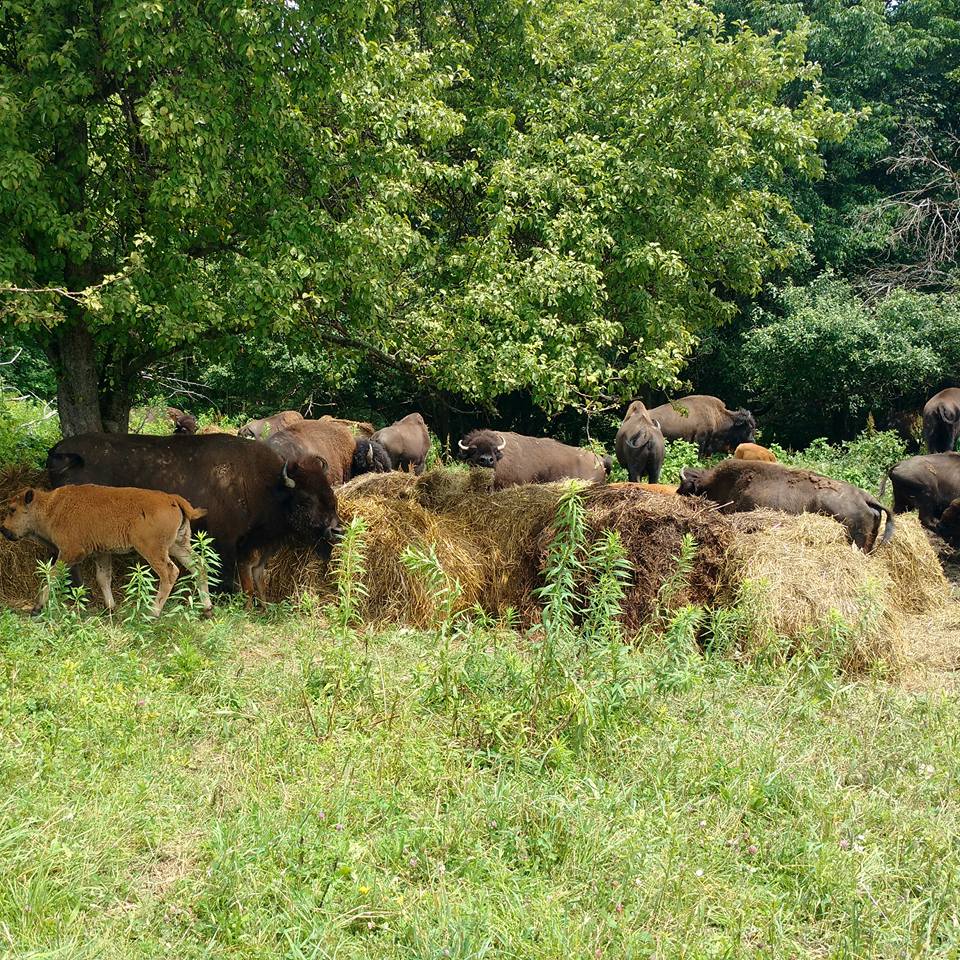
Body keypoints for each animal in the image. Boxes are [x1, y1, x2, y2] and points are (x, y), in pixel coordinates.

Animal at [46, 433, 343, 597]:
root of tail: (60, 449)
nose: (336, 530)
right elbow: (225, 572)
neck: (267, 485)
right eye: (305, 499)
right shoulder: (225, 541)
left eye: (330, 493)